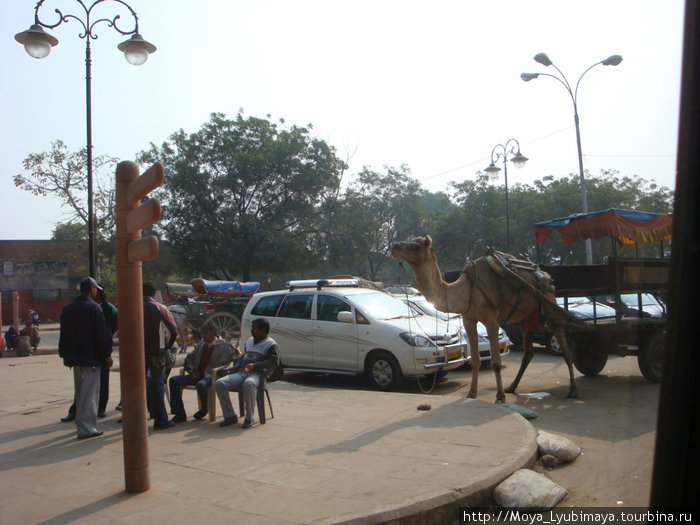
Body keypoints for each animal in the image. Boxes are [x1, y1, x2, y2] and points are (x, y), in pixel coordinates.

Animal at [392, 234, 576, 402]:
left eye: (415, 246)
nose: (394, 247)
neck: (467, 291)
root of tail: (544, 274)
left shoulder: (491, 320)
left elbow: (496, 362)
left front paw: (500, 396)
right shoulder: (468, 320)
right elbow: (475, 360)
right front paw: (472, 393)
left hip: (548, 303)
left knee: (565, 346)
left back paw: (572, 390)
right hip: (528, 316)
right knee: (528, 352)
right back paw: (512, 387)